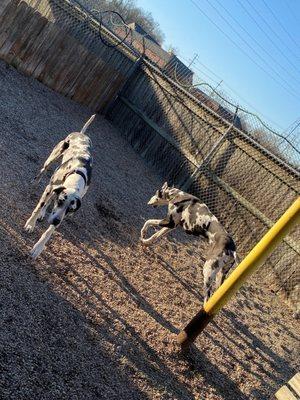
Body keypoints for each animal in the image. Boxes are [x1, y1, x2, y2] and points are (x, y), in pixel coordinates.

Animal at [24, 115, 95, 260]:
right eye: (61, 201)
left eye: (71, 209)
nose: (56, 221)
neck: (77, 174)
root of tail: (81, 134)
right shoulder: (50, 188)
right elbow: (38, 207)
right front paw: (30, 224)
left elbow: (49, 231)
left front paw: (38, 248)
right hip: (52, 159)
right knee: (43, 171)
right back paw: (35, 182)